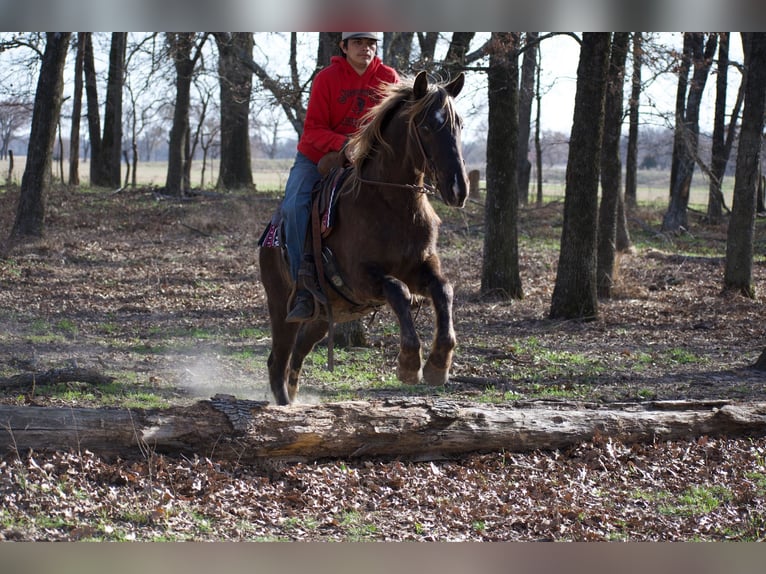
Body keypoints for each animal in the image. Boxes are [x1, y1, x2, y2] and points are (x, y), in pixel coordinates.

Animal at [259, 71, 469, 406]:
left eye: (458, 124)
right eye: (425, 126)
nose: (458, 188)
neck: (390, 204)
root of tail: (270, 235)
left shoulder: (421, 267)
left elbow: (443, 290)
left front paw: (438, 364)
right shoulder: (361, 277)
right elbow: (398, 291)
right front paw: (408, 363)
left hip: (322, 317)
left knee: (299, 351)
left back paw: (292, 392)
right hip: (281, 305)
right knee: (277, 360)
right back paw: (284, 404)